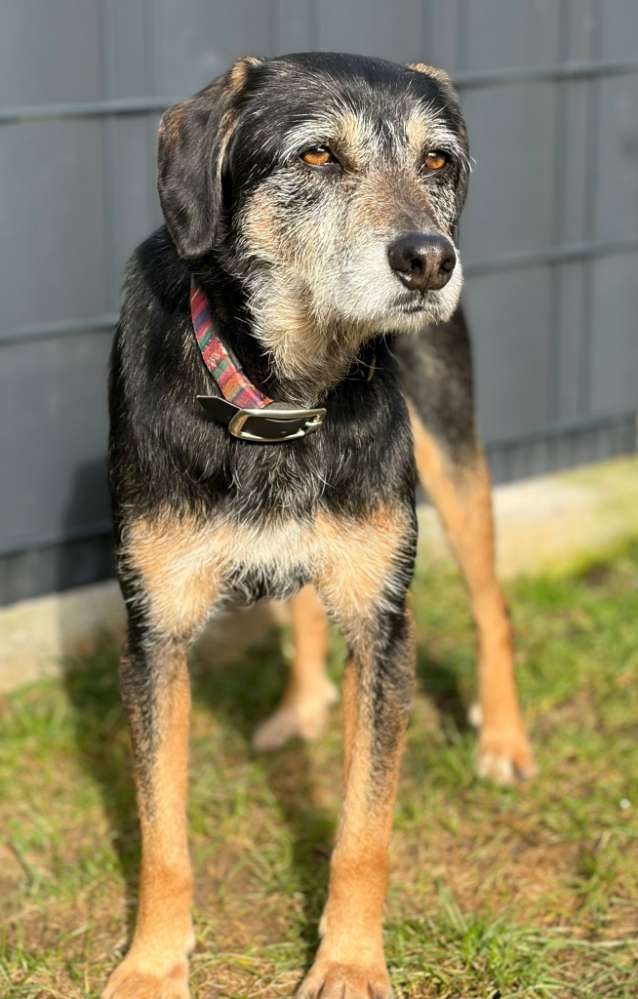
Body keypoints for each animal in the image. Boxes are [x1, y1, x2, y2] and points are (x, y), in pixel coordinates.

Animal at [105, 51, 535, 999]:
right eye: (315, 156)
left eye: (439, 160)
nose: (430, 260)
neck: (285, 395)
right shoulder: (154, 633)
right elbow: (161, 833)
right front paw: (153, 963)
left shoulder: (383, 628)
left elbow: (363, 832)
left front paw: (348, 962)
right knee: (301, 592)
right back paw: (299, 706)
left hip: (451, 450)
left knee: (491, 603)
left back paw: (504, 738)